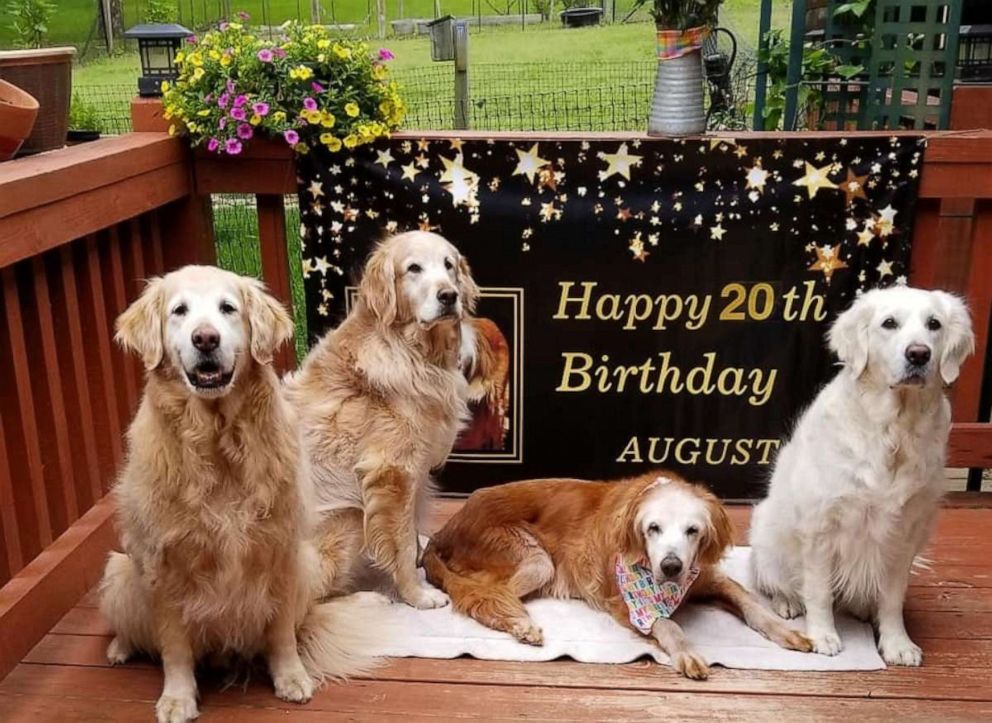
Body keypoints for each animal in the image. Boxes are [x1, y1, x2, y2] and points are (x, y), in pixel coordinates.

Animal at [100, 268, 388, 723]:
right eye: (179, 311)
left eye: (227, 308)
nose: (205, 339)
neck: (218, 439)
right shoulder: (164, 565)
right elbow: (174, 645)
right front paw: (177, 698)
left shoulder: (281, 552)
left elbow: (282, 632)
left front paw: (291, 677)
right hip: (119, 573)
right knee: (137, 630)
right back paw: (119, 647)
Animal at [284, 233, 478, 612]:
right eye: (413, 268)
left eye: (449, 264)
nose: (449, 296)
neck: (413, 351)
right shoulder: (392, 472)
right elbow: (400, 542)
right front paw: (417, 595)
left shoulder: (416, 470)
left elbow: (412, 531)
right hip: (346, 518)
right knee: (306, 607)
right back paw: (365, 599)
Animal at [422, 472, 808, 680]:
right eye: (653, 528)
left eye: (693, 530)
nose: (671, 567)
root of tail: (447, 527)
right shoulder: (629, 603)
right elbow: (668, 624)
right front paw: (686, 652)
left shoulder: (707, 577)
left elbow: (752, 604)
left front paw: (787, 631)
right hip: (536, 560)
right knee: (485, 598)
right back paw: (522, 624)